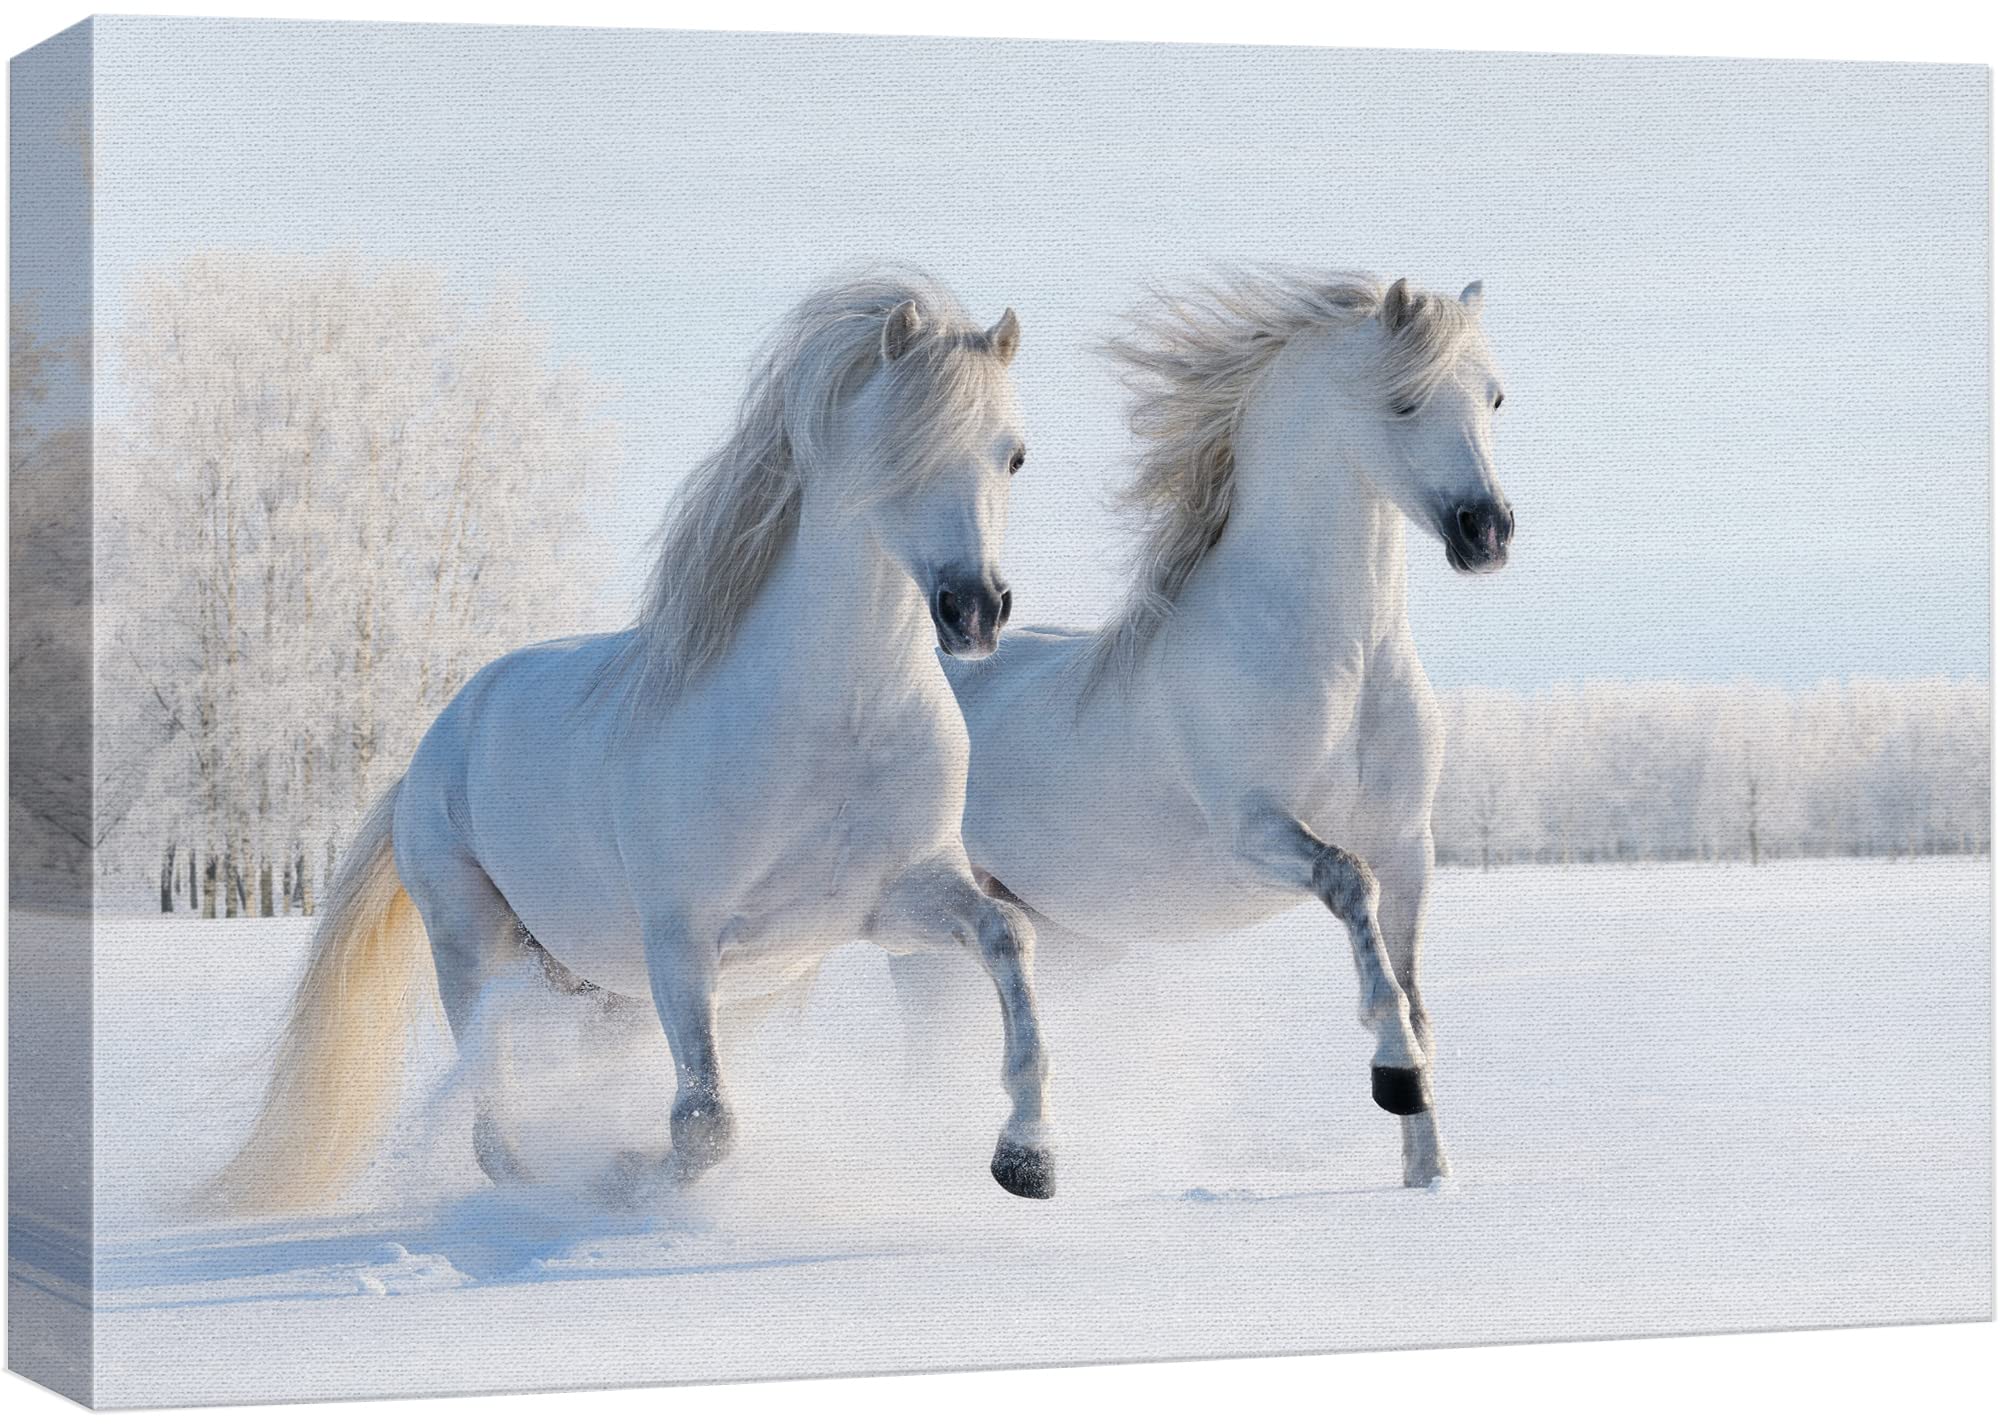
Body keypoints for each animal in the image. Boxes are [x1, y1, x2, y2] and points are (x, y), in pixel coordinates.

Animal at [207, 272, 1058, 1212]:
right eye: (899, 447)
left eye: (1014, 456)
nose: (973, 610)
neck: (841, 725)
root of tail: (433, 745)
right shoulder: (680, 943)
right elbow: (704, 1123)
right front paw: (621, 1176)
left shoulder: (894, 905)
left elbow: (1009, 937)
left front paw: (1027, 1159)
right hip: (473, 944)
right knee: (491, 1112)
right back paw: (540, 1186)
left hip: (598, 987)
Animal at [902, 273, 1512, 1189]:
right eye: (1403, 401)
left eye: (1494, 397)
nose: (1488, 532)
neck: (1343, 658)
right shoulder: (1254, 831)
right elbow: (1351, 887)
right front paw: (1394, 1077)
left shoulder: (1412, 846)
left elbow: (1414, 993)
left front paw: (1428, 1174)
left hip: (1063, 934)